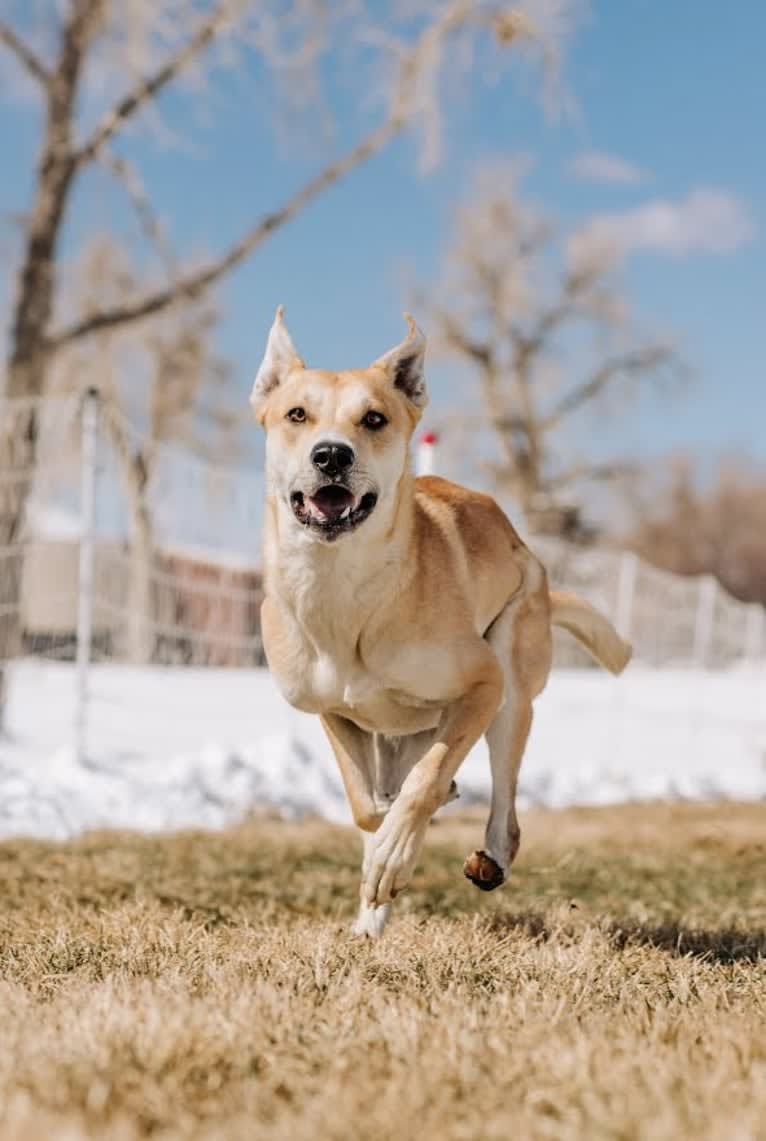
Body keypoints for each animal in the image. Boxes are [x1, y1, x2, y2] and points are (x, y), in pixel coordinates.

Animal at [251, 305, 630, 935]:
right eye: (296, 414)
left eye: (374, 418)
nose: (332, 455)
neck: (344, 590)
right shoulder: (331, 711)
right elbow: (366, 805)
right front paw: (381, 859)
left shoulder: (480, 685)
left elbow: (424, 782)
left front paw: (397, 849)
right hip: (402, 733)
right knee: (399, 780)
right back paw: (371, 920)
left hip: (512, 684)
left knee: (503, 806)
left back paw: (489, 856)